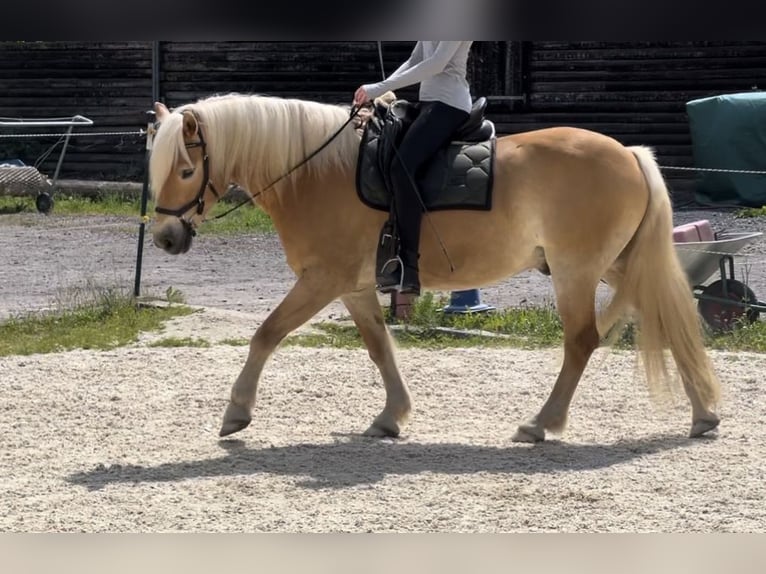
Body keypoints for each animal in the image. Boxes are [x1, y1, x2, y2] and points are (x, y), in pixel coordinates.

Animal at [149, 92, 721, 443]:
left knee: (582, 341)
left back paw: (542, 423)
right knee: (668, 315)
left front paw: (236, 413)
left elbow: (265, 334)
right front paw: (391, 416)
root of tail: (628, 153)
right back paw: (704, 415)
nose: (165, 239)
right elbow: (379, 347)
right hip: (618, 265)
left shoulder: (322, 280)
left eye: (186, 169)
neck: (314, 173)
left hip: (575, 271)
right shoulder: (354, 287)